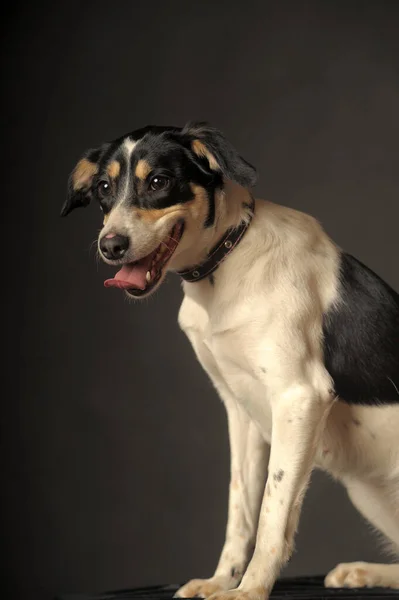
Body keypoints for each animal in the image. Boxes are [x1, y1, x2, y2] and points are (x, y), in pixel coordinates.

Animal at [61, 122, 399, 596]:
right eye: (104, 188)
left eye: (159, 181)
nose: (110, 246)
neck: (227, 261)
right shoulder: (241, 411)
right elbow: (240, 508)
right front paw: (221, 580)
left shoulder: (299, 397)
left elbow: (273, 511)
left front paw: (250, 589)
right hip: (365, 492)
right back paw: (363, 572)